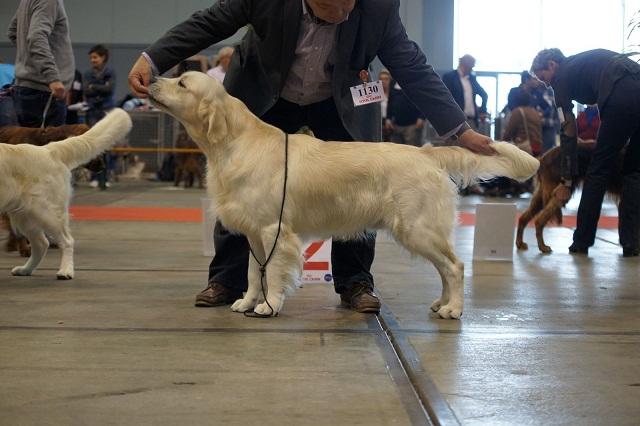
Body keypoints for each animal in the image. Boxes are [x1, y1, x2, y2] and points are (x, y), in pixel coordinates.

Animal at [0, 108, 132, 278]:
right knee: (41, 244)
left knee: (66, 241)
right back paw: (25, 270)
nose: (102, 166)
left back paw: (65, 271)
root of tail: (48, 150)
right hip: (25, 214)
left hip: (45, 211)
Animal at [148, 72, 536, 320]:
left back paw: (453, 309)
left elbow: (273, 272)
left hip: (419, 228)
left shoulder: (275, 230)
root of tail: (426, 153)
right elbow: (252, 271)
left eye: (182, 82)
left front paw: (270, 306)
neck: (233, 143)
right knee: (445, 269)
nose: (149, 80)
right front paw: (246, 302)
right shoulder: (255, 232)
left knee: (454, 266)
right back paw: (441, 304)